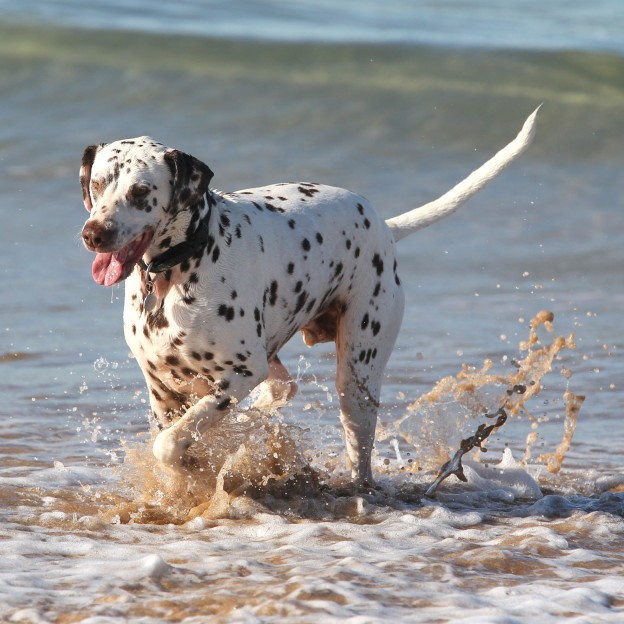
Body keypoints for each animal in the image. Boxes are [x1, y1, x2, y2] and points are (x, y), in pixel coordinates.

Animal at [79, 109, 536, 486]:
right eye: (97, 184)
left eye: (140, 192)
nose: (93, 233)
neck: (178, 270)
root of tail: (384, 227)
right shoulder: (162, 389)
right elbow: (171, 443)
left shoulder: (240, 374)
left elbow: (169, 445)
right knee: (283, 389)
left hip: (356, 380)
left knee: (357, 447)